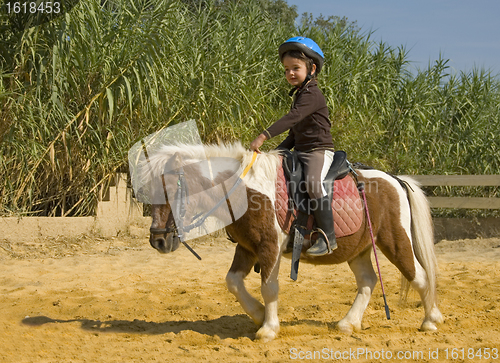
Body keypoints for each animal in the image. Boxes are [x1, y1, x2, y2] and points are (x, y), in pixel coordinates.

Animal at [144, 141, 442, 342]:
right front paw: (258, 314)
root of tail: (395, 180)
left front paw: (268, 328)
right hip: (358, 249)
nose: (158, 240)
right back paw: (348, 323)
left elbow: (269, 287)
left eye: (170, 189)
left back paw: (430, 320)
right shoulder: (247, 247)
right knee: (368, 281)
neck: (245, 190)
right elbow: (233, 282)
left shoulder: (269, 247)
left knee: (419, 276)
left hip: (395, 241)